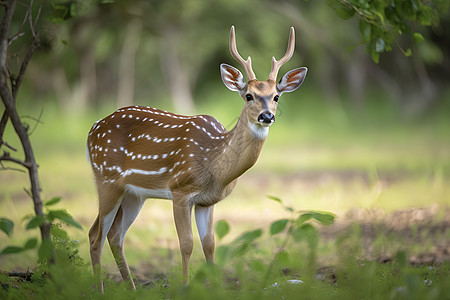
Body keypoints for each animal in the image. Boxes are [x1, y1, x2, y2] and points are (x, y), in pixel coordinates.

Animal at [86, 25, 308, 290]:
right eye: (249, 95)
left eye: (276, 96)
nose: (267, 116)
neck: (214, 166)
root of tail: (93, 128)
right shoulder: (180, 190)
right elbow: (186, 244)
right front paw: (184, 287)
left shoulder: (207, 202)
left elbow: (209, 244)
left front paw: (216, 289)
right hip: (106, 178)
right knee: (96, 234)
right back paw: (100, 290)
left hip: (133, 194)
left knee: (114, 235)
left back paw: (132, 289)